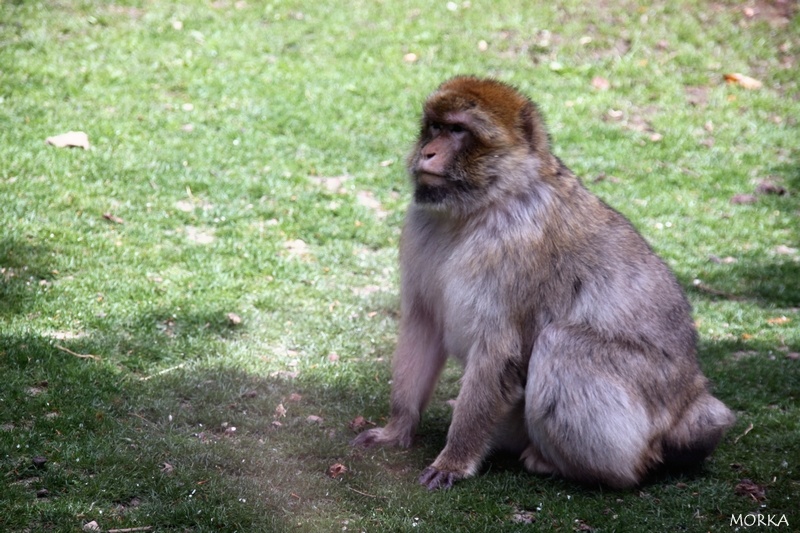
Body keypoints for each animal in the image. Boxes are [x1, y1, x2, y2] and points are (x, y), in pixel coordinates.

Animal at [354, 77, 736, 488]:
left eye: (458, 130)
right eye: (435, 126)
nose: (427, 152)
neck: (481, 206)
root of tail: (689, 398)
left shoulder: (516, 251)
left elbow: (499, 351)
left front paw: (454, 460)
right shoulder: (421, 228)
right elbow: (423, 325)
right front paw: (397, 428)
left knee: (562, 343)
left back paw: (577, 467)